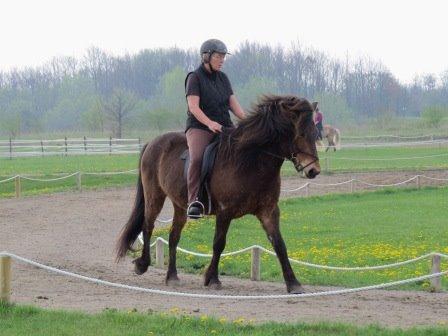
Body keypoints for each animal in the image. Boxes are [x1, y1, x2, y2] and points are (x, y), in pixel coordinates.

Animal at [115, 94, 318, 294]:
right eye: (300, 134)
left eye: (315, 134)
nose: (313, 170)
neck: (249, 161)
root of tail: (153, 142)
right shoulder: (224, 212)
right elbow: (219, 243)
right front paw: (212, 279)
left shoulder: (268, 211)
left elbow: (279, 244)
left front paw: (293, 283)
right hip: (154, 196)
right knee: (148, 226)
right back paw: (142, 265)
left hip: (180, 205)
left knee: (173, 237)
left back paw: (172, 276)